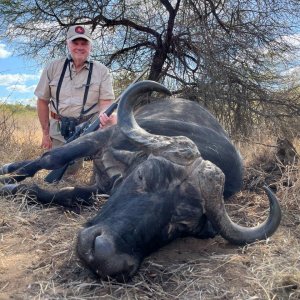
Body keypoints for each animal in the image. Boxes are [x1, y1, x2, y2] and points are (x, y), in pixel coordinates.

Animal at [0, 80, 282, 282]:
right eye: (142, 176)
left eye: (180, 224)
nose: (104, 258)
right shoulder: (99, 138)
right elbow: (50, 159)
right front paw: (8, 181)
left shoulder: (100, 187)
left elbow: (68, 193)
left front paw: (20, 187)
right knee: (43, 159)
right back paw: (10, 167)